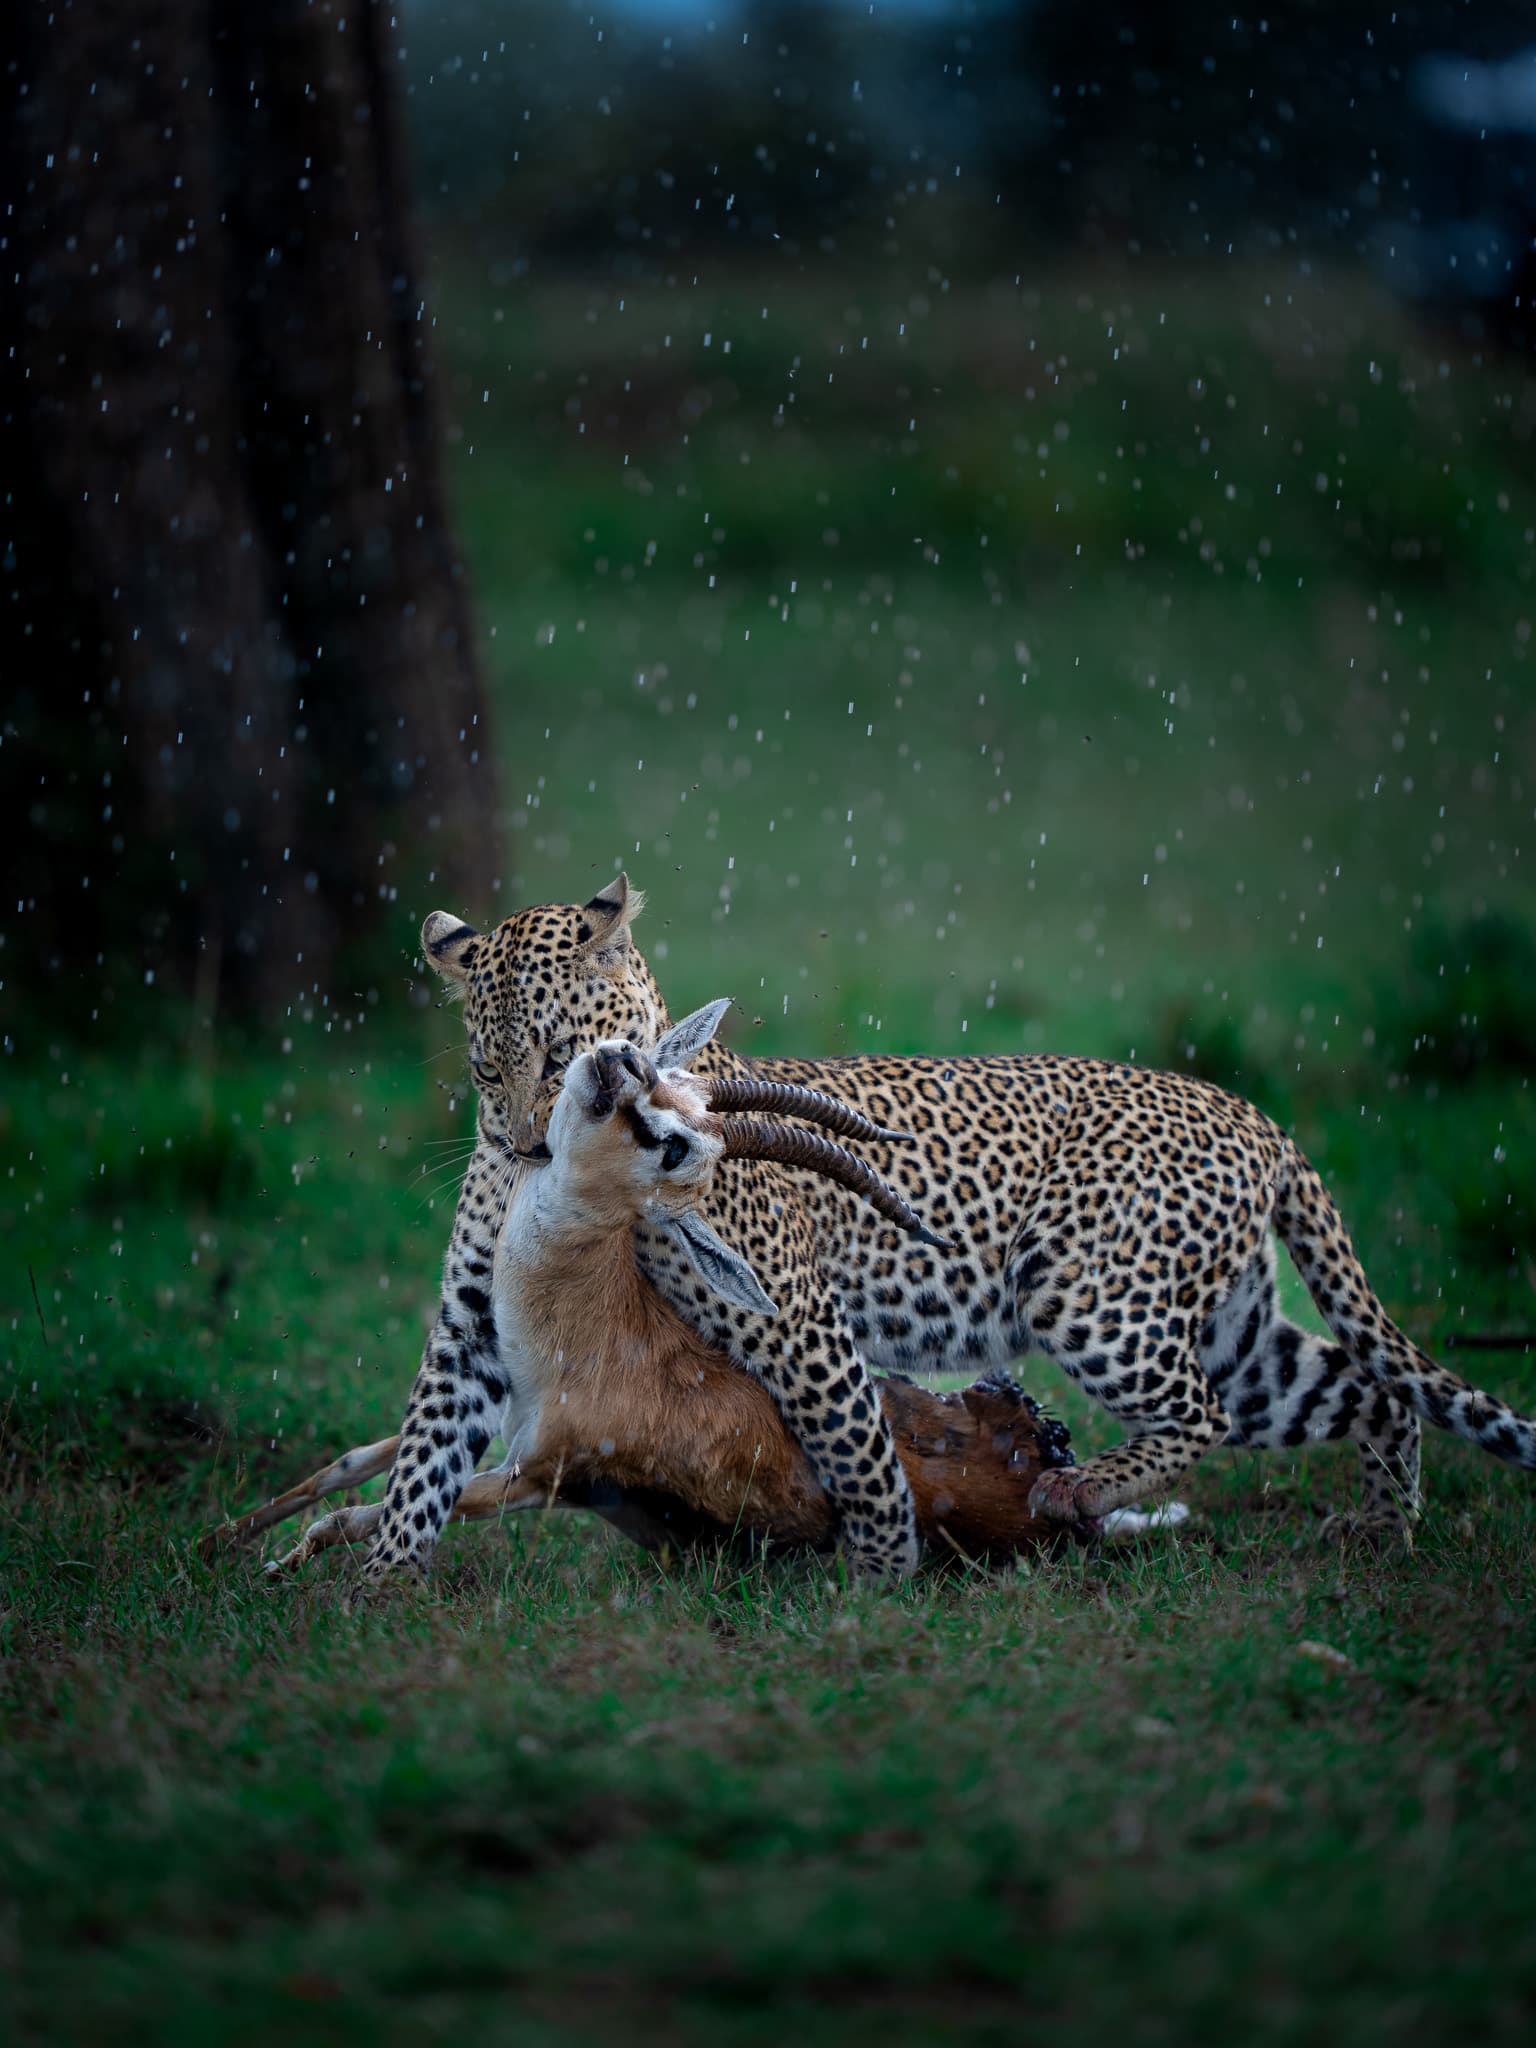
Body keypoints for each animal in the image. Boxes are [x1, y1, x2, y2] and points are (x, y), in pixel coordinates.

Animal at [365, 873, 1536, 1583]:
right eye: (485, 1069)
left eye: (561, 1050)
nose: (526, 1145)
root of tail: (1252, 1113)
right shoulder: (469, 1330)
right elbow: (420, 1462)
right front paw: (377, 1591)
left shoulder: (798, 1321)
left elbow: (860, 1453)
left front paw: (883, 1577)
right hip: (1235, 1327)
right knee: (1367, 1391)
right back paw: (1385, 1527)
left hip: (1088, 1291)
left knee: (1201, 1410)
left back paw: (1079, 1485)